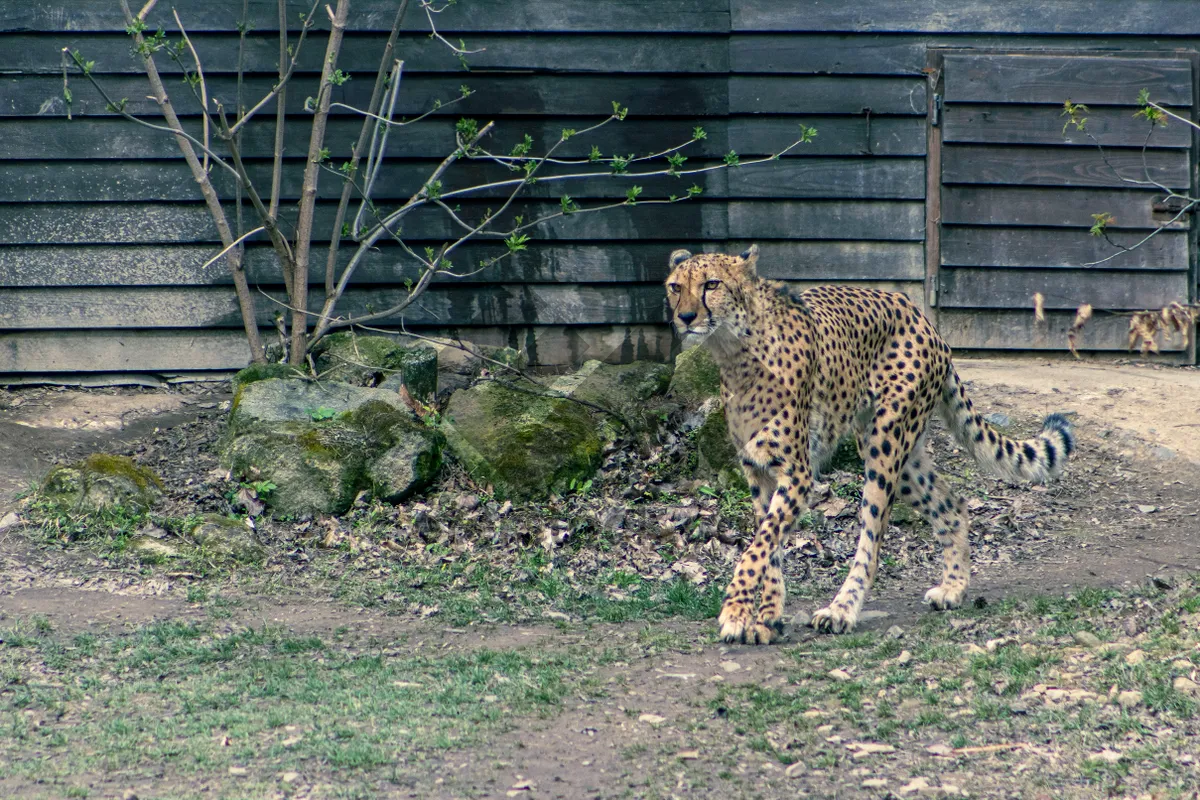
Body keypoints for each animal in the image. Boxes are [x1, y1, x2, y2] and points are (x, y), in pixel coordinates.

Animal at [667, 247, 1080, 642]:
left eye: (712, 284)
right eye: (675, 286)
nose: (685, 316)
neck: (736, 351)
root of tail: (917, 312)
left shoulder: (797, 474)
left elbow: (759, 547)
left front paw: (737, 612)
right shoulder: (758, 473)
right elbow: (770, 549)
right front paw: (766, 619)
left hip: (886, 442)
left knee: (872, 542)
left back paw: (842, 610)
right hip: (892, 449)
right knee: (952, 503)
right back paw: (954, 587)